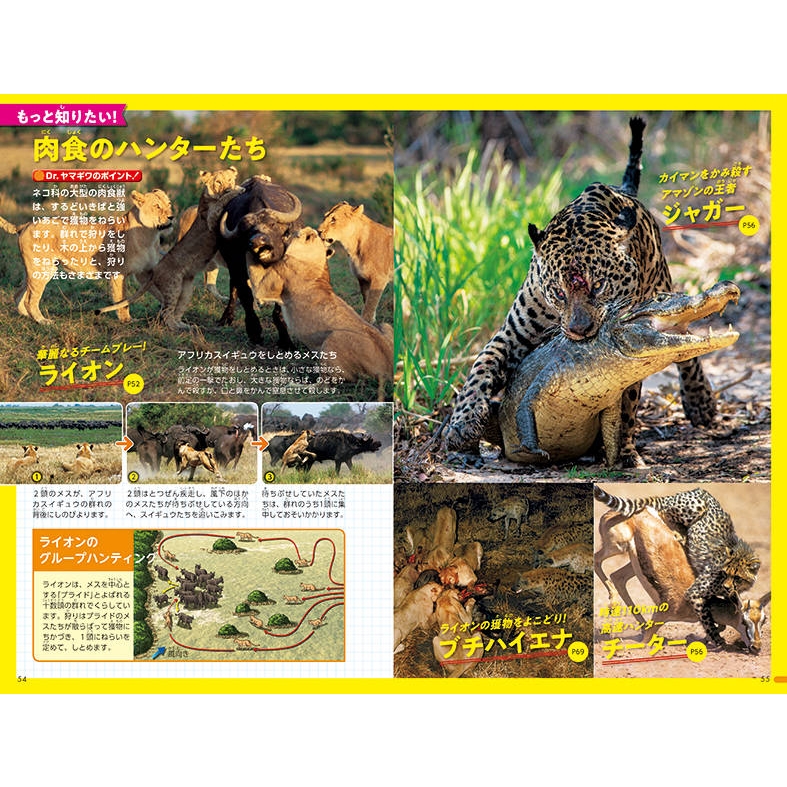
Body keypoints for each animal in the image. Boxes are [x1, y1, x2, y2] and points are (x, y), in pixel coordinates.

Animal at [2, 188, 173, 323]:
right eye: (157, 206)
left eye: (169, 204)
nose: (171, 217)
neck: (150, 235)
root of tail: (26, 224)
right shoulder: (118, 273)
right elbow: (122, 299)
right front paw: (127, 320)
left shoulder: (145, 272)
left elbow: (161, 292)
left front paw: (168, 312)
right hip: (43, 268)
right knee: (30, 299)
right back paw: (42, 321)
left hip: (34, 269)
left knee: (18, 294)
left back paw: (27, 316)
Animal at [94, 168, 242, 329]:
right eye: (218, 182)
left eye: (230, 179)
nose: (228, 187)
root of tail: (155, 272)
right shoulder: (211, 217)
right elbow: (222, 201)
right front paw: (238, 190)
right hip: (174, 286)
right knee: (167, 313)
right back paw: (181, 328)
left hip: (187, 288)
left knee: (183, 305)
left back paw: (187, 325)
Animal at [247, 227, 394, 400]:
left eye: (295, 232)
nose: (288, 230)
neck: (316, 258)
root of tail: (388, 365)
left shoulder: (263, 288)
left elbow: (251, 265)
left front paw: (255, 244)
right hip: (385, 325)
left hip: (333, 339)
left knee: (325, 385)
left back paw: (294, 384)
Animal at [443, 117, 717, 467]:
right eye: (558, 292)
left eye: (599, 286)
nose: (579, 330)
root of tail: (622, 189)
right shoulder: (511, 334)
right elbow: (481, 367)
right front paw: (461, 424)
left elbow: (627, 400)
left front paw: (624, 451)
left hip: (662, 283)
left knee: (684, 342)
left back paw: (700, 402)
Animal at [594, 485, 761, 648]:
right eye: (745, 622)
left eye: (762, 620)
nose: (756, 646)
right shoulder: (671, 607)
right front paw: (715, 640)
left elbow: (718, 624)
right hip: (619, 546)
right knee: (597, 560)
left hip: (632, 559)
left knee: (617, 576)